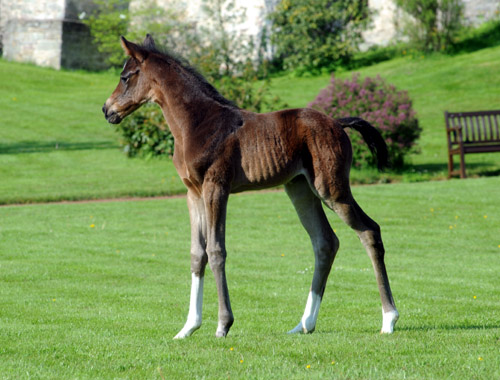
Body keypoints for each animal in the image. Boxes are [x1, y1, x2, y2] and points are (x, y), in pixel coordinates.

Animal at [102, 35, 398, 338]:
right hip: (300, 189)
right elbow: (197, 254)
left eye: (125, 77)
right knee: (325, 242)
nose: (107, 109)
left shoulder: (216, 188)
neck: (196, 124)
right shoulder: (192, 193)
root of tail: (338, 123)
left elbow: (216, 251)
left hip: (331, 188)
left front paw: (223, 324)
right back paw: (304, 324)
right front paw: (188, 327)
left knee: (369, 231)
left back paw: (388, 319)